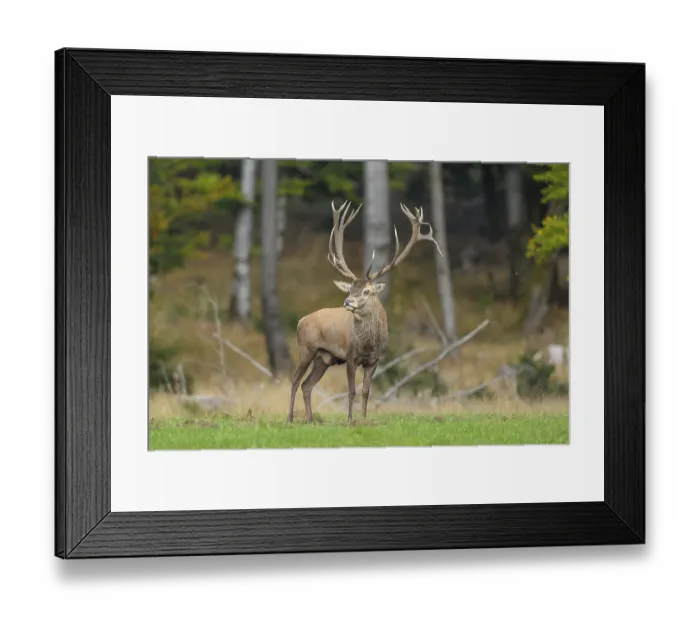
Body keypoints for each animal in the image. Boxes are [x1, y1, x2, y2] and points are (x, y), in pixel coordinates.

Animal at [287, 200, 443, 424]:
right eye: (350, 289)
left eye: (367, 291)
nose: (347, 301)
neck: (369, 344)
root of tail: (300, 321)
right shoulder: (351, 356)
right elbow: (351, 390)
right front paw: (350, 420)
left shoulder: (374, 360)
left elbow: (366, 391)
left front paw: (363, 418)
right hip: (306, 349)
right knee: (294, 380)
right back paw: (289, 418)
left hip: (323, 359)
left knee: (306, 385)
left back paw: (310, 419)